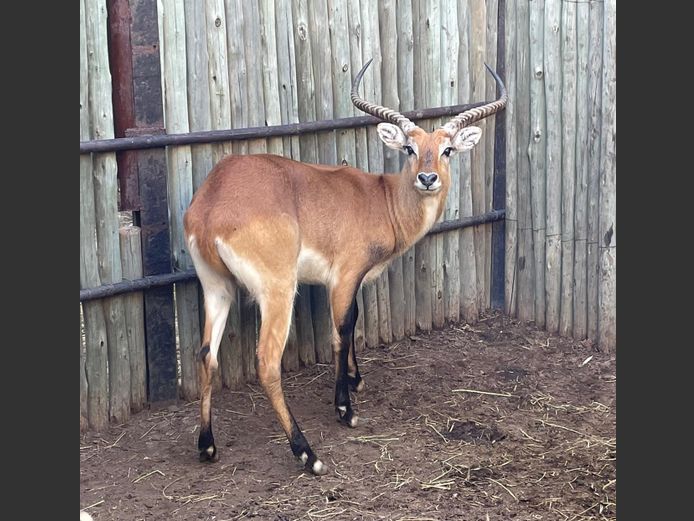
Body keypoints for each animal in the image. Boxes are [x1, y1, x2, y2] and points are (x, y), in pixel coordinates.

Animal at [185, 59, 508, 474]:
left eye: (447, 149)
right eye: (409, 148)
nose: (427, 178)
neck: (382, 199)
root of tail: (211, 204)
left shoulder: (348, 282)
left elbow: (353, 321)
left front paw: (356, 380)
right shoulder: (344, 276)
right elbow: (340, 331)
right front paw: (345, 408)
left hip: (217, 287)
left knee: (206, 354)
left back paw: (207, 445)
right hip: (278, 290)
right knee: (267, 362)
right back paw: (307, 454)